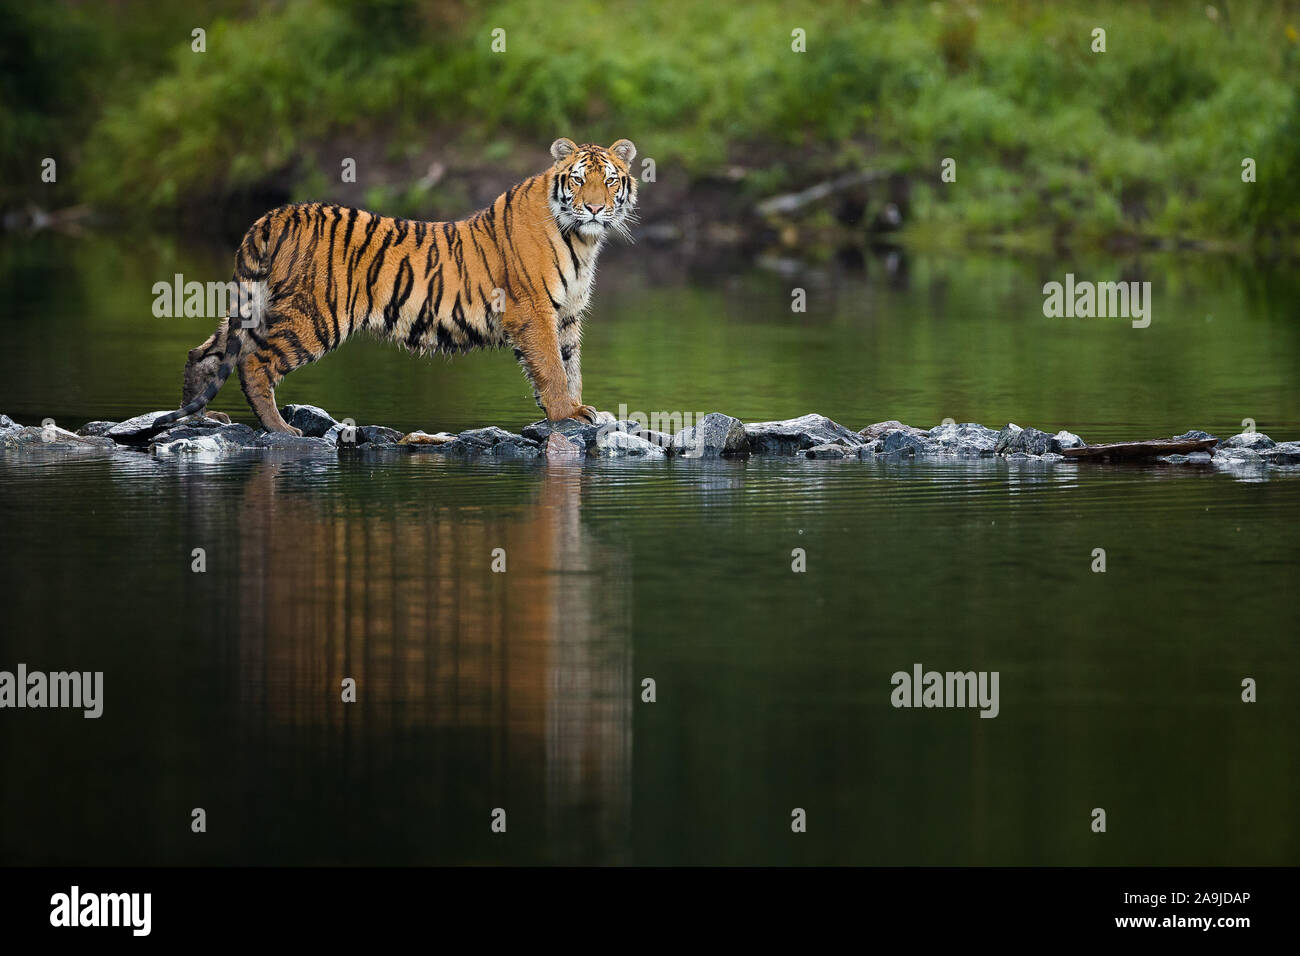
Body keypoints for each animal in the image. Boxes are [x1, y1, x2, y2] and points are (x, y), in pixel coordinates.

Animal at [163, 137, 638, 436]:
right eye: (578, 179)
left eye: (610, 180)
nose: (594, 208)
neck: (583, 240)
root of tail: (278, 213)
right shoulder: (534, 311)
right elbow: (553, 370)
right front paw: (565, 415)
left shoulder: (568, 315)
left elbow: (571, 366)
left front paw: (576, 409)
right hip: (315, 316)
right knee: (255, 362)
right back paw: (280, 429)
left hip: (258, 305)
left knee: (204, 353)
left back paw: (197, 419)